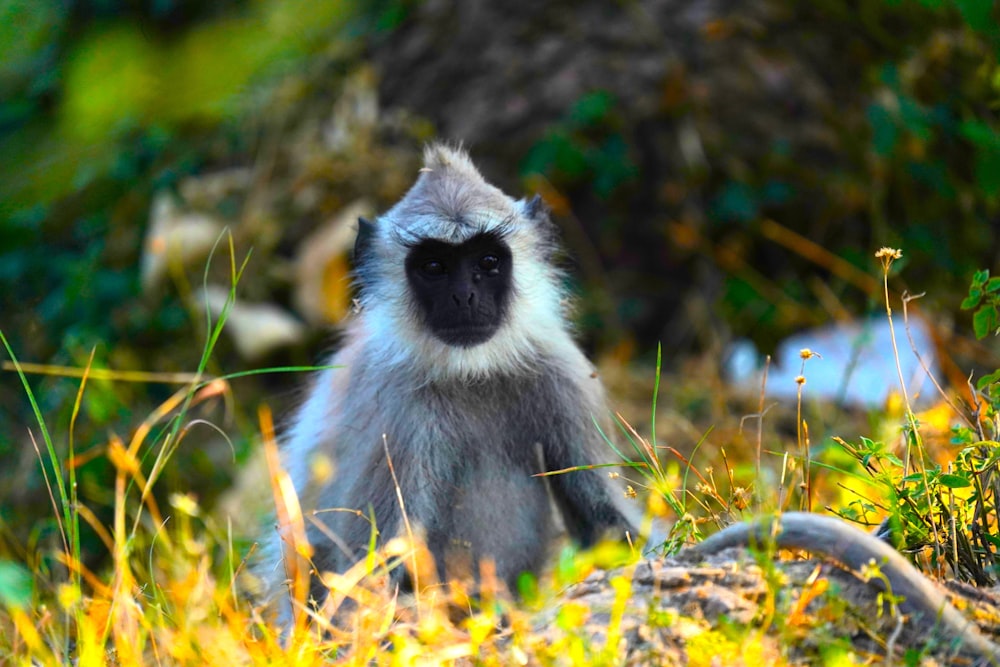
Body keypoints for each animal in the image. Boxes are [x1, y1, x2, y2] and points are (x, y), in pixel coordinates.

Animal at [262, 144, 644, 624]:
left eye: (487, 262)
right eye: (434, 266)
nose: (464, 297)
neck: (469, 373)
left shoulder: (564, 375)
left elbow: (608, 523)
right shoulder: (397, 413)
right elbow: (365, 580)